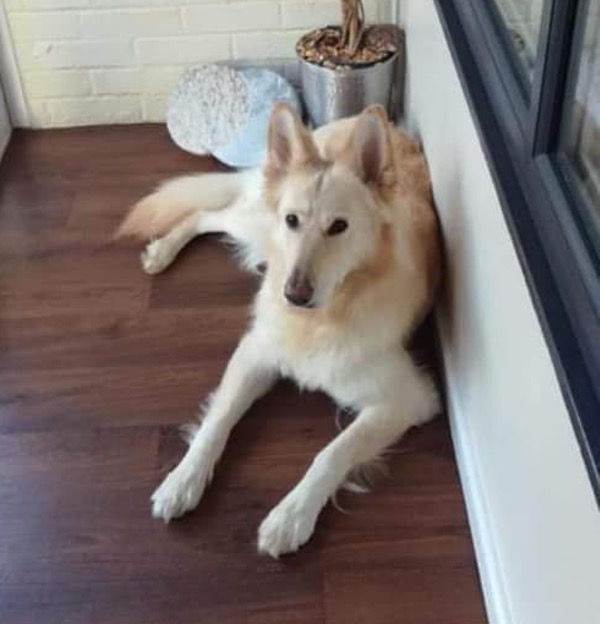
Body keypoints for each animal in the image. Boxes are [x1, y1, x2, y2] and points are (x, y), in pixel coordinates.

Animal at [119, 103, 442, 560]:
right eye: (293, 220)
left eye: (339, 227)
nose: (294, 294)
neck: (322, 317)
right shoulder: (255, 352)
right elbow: (218, 421)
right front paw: (184, 479)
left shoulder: (405, 400)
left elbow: (332, 453)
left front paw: (291, 517)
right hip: (255, 222)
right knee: (208, 215)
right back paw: (163, 250)